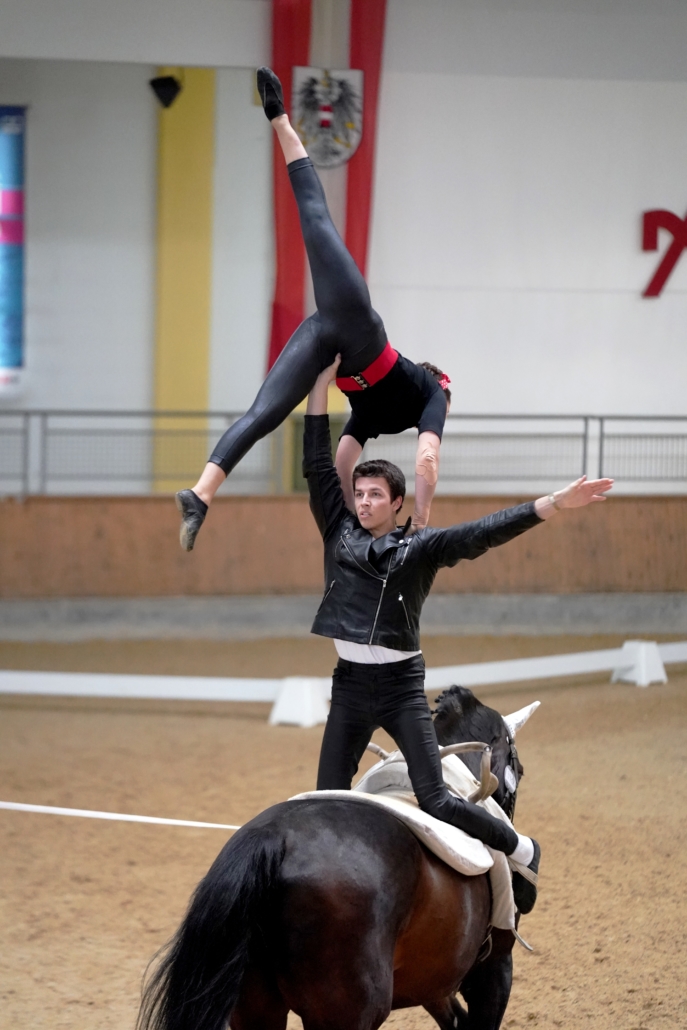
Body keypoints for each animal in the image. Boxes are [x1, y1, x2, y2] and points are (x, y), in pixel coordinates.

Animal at [138, 688, 535, 1030]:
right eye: (520, 768)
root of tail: (273, 840)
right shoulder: (494, 968)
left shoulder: (431, 979)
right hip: (347, 1011)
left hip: (254, 1007)